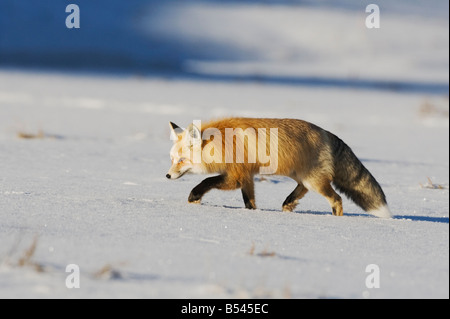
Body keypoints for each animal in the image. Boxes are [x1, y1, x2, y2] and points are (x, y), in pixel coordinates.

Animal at [167, 118, 392, 220]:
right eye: (172, 159)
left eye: (181, 160)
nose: (167, 175)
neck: (222, 144)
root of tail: (326, 132)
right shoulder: (247, 177)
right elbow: (249, 202)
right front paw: (252, 213)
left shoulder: (236, 176)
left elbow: (206, 181)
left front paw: (194, 196)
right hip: (302, 177)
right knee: (302, 189)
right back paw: (288, 204)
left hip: (315, 181)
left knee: (336, 199)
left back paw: (336, 219)